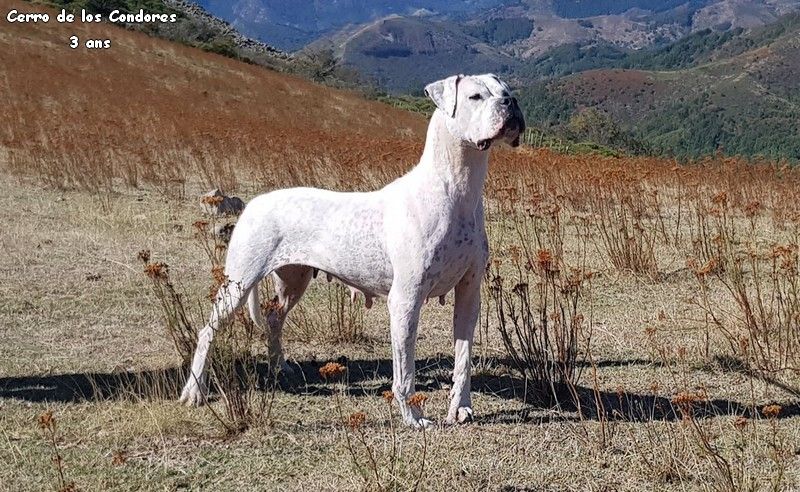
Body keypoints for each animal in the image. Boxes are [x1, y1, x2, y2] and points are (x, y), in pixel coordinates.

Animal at [180, 74, 524, 426]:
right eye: (475, 97)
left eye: (506, 92)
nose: (511, 103)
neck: (457, 188)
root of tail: (254, 203)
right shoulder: (406, 299)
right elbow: (405, 371)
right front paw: (412, 416)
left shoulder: (469, 293)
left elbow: (463, 357)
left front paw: (461, 407)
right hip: (239, 281)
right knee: (207, 331)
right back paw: (194, 390)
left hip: (293, 280)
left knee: (274, 316)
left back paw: (281, 368)